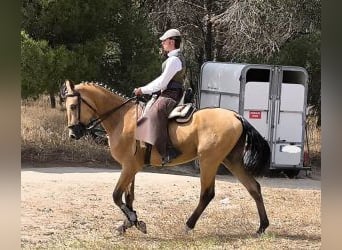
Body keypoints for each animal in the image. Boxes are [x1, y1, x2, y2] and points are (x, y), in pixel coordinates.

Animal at [60, 80, 270, 236]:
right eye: (67, 106)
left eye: (73, 106)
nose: (73, 134)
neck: (122, 118)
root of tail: (236, 116)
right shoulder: (131, 167)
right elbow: (129, 197)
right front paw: (130, 223)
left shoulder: (129, 167)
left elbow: (116, 196)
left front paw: (134, 221)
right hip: (231, 161)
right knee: (254, 188)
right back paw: (261, 227)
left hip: (209, 161)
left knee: (207, 194)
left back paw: (188, 226)